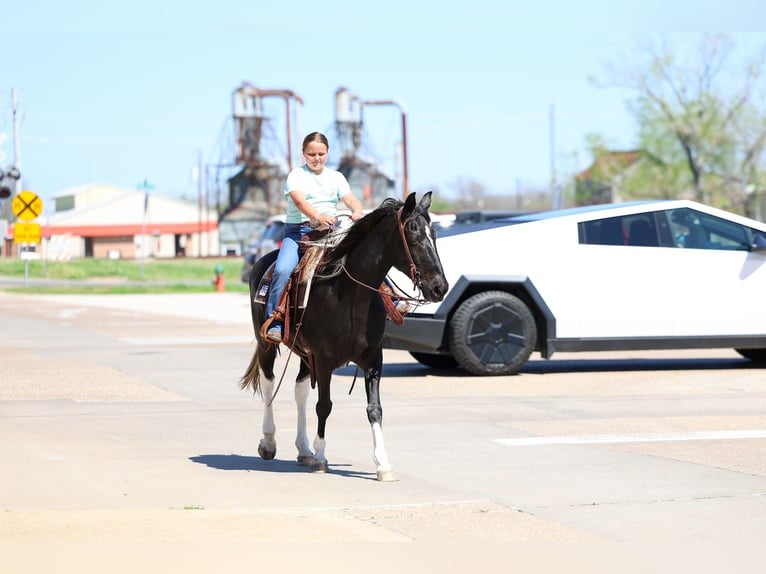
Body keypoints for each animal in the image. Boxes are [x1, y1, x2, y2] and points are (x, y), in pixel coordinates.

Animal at [239, 191, 448, 481]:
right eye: (413, 234)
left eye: (435, 235)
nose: (440, 287)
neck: (351, 297)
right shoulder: (324, 360)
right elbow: (324, 405)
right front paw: (321, 457)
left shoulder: (373, 360)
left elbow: (374, 409)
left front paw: (383, 464)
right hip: (268, 344)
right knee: (269, 382)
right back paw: (269, 442)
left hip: (305, 354)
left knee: (300, 390)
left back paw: (303, 448)